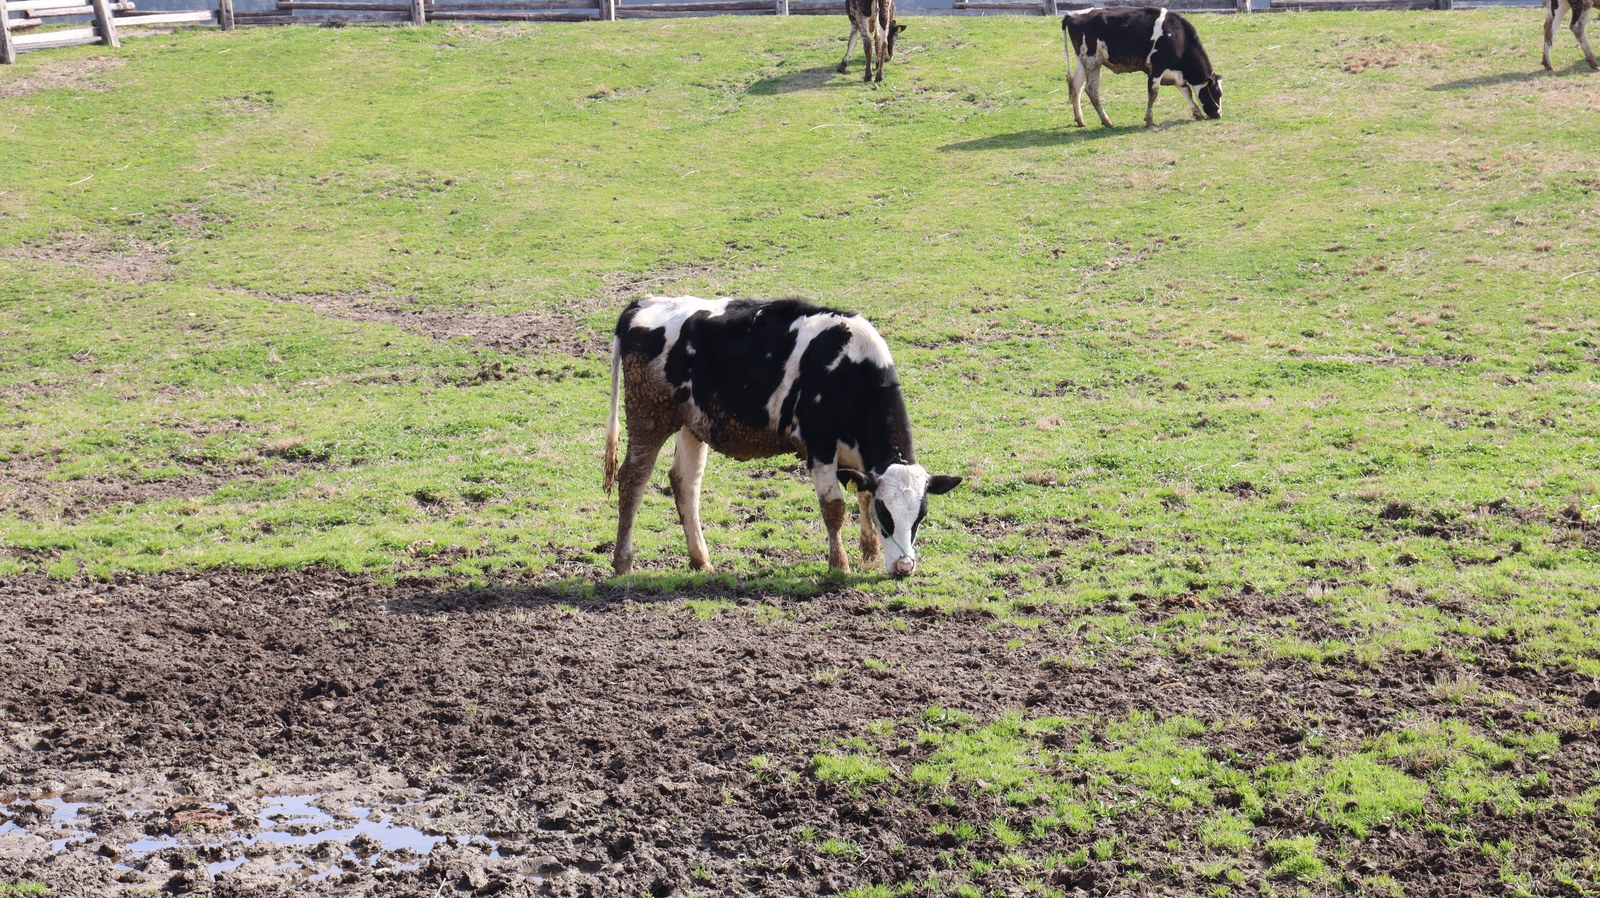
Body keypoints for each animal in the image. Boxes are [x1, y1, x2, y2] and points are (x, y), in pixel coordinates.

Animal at [602, 296, 962, 578]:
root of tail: (642, 304)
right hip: (648, 418)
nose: (904, 567)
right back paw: (623, 562)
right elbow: (834, 507)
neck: (848, 367)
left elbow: (861, 495)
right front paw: (840, 566)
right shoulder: (819, 447)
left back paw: (700, 560)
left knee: (685, 484)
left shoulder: (861, 459)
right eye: (886, 514)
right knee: (632, 480)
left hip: (691, 426)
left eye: (921, 515)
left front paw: (870, 555)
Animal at [1062, 7, 1223, 128]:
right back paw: (1107, 121)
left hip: (1082, 60)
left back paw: (1080, 120)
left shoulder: (1175, 73)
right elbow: (1153, 92)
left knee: (1076, 87)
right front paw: (1149, 120)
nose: (1219, 114)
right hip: (1092, 60)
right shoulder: (1157, 66)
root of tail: (1073, 14)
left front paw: (1197, 113)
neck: (1179, 37)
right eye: (1217, 93)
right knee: (1091, 89)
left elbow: (1186, 91)